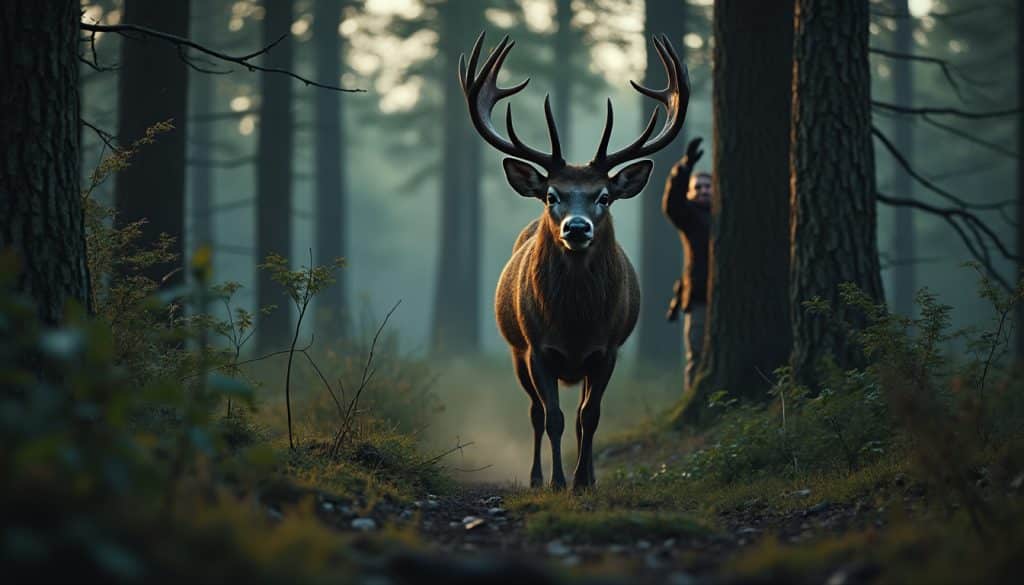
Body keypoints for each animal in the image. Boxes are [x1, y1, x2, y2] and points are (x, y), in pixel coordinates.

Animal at [459, 32, 690, 491]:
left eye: (604, 196)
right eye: (553, 195)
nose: (577, 228)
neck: (575, 322)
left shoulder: (609, 348)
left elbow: (590, 417)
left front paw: (584, 479)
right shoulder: (536, 348)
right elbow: (553, 418)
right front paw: (557, 481)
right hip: (515, 351)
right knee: (533, 413)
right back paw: (535, 477)